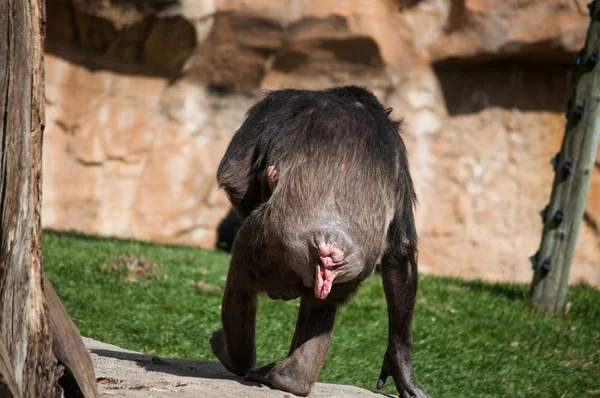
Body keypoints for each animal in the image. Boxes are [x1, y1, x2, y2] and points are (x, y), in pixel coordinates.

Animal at [211, 85, 426, 396]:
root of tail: (329, 245)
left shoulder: (274, 103)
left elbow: (234, 175)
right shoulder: (399, 151)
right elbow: (401, 251)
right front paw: (402, 369)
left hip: (262, 246)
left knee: (241, 279)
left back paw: (233, 357)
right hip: (346, 273)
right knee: (322, 305)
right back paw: (290, 379)